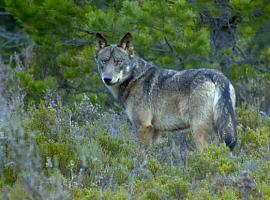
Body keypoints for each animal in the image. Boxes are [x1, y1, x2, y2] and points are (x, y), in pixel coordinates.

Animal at [94, 32, 236, 150]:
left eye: (119, 61)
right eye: (104, 61)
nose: (107, 79)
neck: (134, 78)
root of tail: (217, 76)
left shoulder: (143, 127)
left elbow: (140, 156)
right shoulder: (155, 131)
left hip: (197, 131)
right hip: (219, 133)